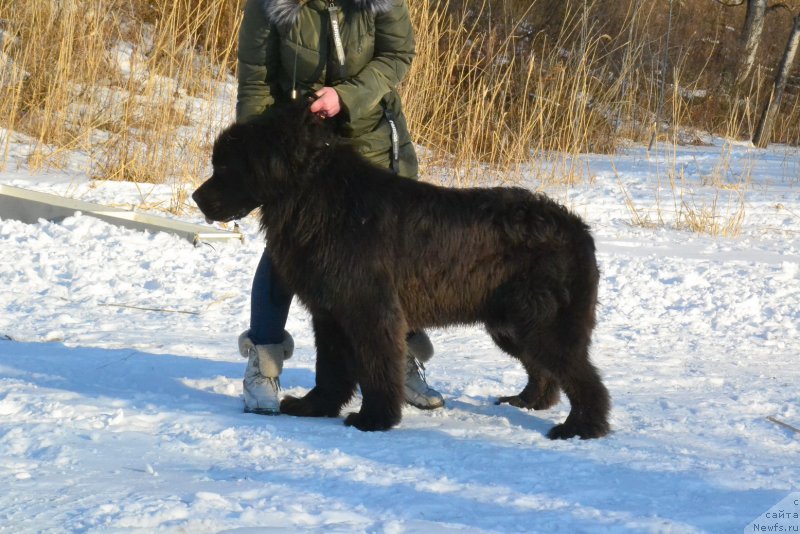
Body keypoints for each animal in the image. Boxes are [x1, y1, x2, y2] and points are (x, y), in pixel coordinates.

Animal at [194, 100, 612, 440]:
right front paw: (316, 407)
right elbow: (330, 368)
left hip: (544, 322)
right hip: (511, 325)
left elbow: (377, 367)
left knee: (584, 377)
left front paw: (374, 419)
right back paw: (527, 401)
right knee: (545, 370)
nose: (197, 197)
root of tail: (579, 229)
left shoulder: (369, 309)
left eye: (227, 166)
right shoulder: (330, 313)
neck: (319, 197)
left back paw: (581, 427)